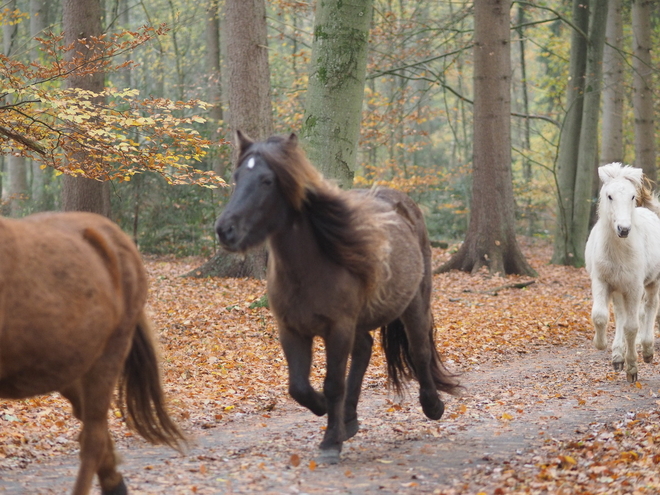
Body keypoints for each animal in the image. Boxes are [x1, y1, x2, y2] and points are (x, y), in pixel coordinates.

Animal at [217, 133, 458, 464]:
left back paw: (432, 406)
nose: (225, 230)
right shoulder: (291, 330)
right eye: (237, 177)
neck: (309, 269)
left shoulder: (338, 328)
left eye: (267, 180)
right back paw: (349, 419)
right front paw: (323, 411)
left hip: (414, 303)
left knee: (419, 351)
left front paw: (330, 441)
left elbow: (333, 384)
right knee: (365, 350)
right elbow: (298, 387)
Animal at [584, 163, 660, 384]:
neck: (618, 250)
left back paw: (647, 350)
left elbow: (631, 327)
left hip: (651, 282)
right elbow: (600, 316)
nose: (623, 229)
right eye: (609, 196)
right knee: (620, 314)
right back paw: (618, 356)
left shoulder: (634, 287)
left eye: (632, 196)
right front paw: (601, 344)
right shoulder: (601, 281)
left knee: (649, 308)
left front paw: (632, 368)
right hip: (618, 289)